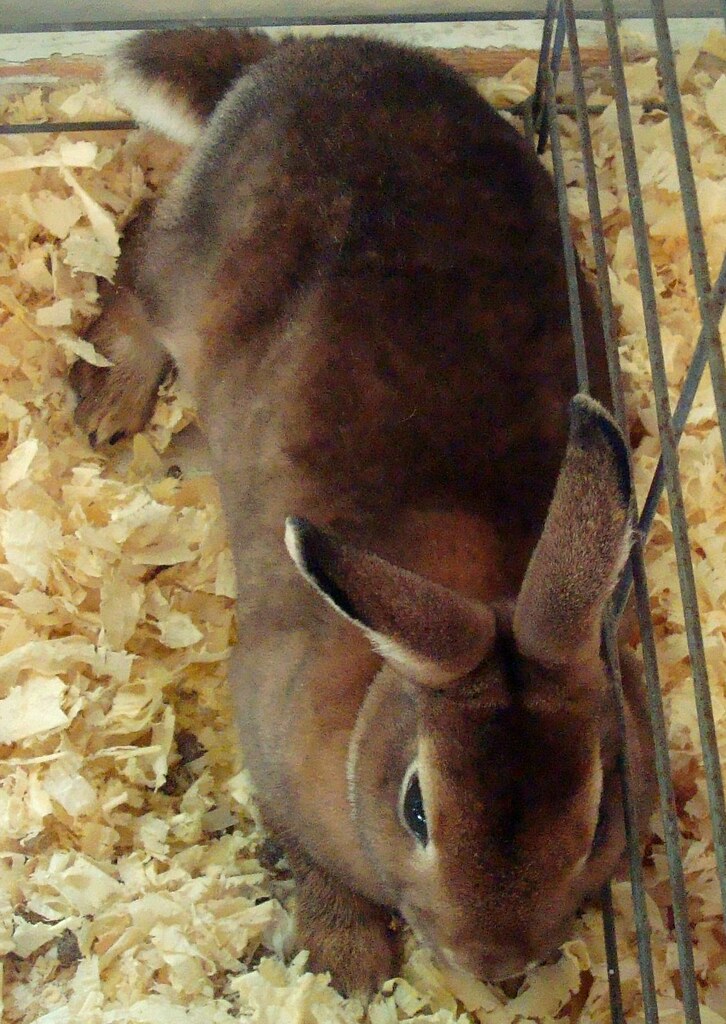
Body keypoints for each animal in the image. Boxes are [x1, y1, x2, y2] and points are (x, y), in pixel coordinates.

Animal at [71, 29, 656, 997]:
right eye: (417, 808)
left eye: (600, 805)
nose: (491, 961)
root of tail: (288, 59)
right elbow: (309, 859)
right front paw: (345, 961)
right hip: (186, 271)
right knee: (142, 253)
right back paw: (109, 400)